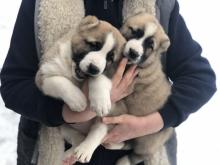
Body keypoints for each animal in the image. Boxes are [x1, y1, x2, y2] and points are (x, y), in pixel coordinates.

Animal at [35, 16, 125, 165]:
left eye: (110, 58)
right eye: (94, 45)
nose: (93, 68)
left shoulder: (110, 72)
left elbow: (99, 77)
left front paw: (100, 103)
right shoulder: (42, 76)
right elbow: (59, 81)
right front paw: (78, 100)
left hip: (109, 117)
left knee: (98, 131)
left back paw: (84, 150)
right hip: (62, 126)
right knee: (78, 137)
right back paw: (68, 156)